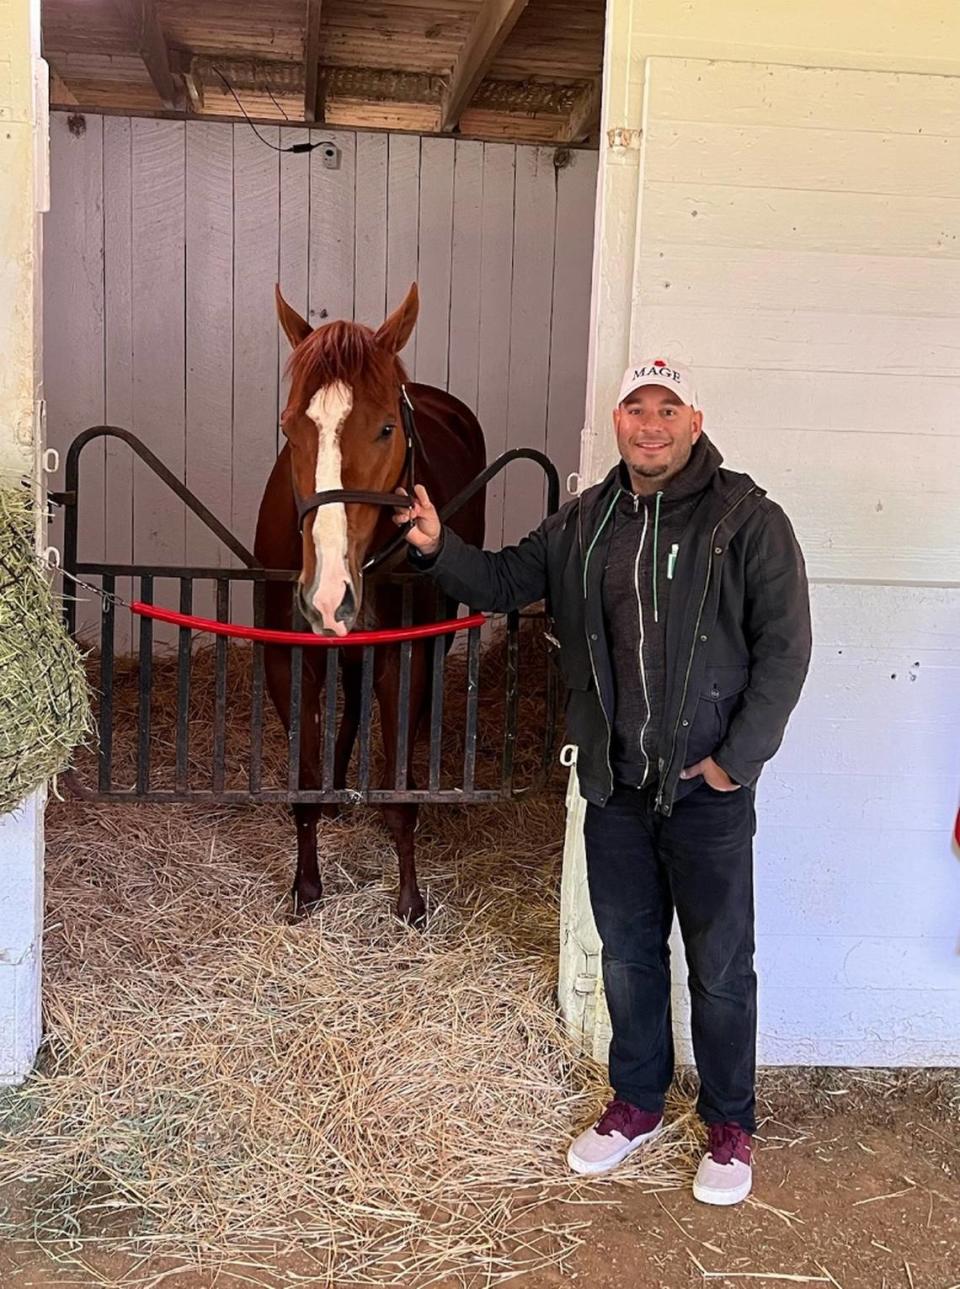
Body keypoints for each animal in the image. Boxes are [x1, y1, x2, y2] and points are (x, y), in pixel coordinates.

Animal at [252, 287, 481, 922]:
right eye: (288, 427)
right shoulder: (287, 663)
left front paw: (409, 900)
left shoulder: (406, 657)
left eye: (385, 428)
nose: (328, 594)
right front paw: (306, 889)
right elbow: (303, 787)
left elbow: (400, 789)